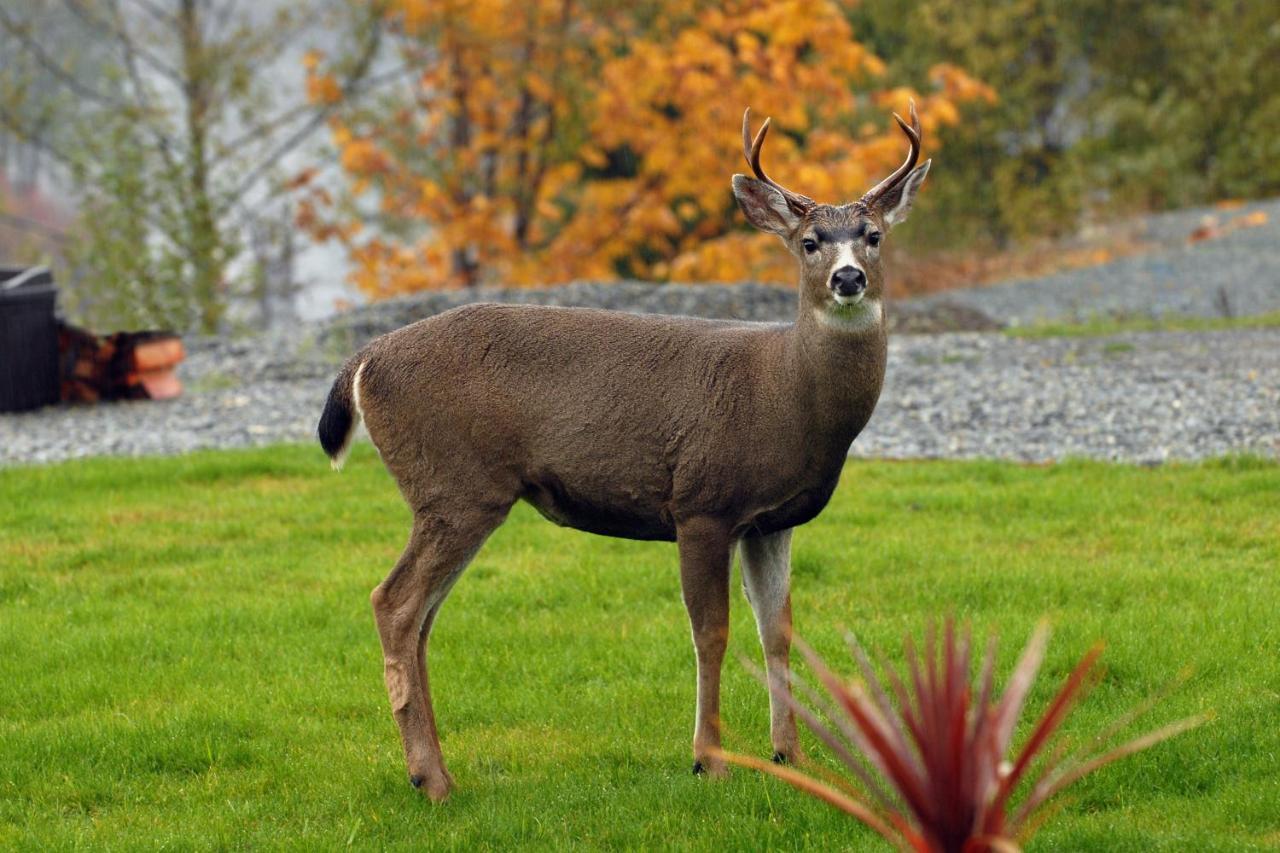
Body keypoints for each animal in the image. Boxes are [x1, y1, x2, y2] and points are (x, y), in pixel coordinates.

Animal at [313, 101, 926, 799]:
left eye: (873, 235)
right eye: (809, 242)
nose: (848, 277)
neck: (786, 394)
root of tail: (364, 361)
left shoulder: (771, 521)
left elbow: (778, 630)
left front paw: (790, 756)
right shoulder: (701, 502)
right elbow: (711, 632)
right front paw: (709, 759)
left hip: (454, 496)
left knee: (421, 617)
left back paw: (436, 771)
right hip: (455, 487)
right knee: (394, 603)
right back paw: (430, 779)